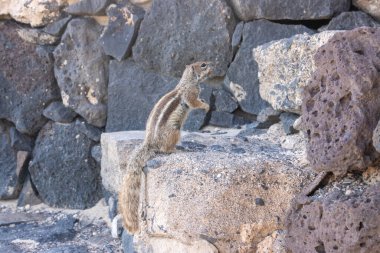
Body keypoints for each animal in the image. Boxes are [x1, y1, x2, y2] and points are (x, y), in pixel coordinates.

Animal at [119, 60, 214, 233]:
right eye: (203, 65)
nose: (213, 65)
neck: (188, 80)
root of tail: (150, 143)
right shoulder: (190, 94)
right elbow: (194, 102)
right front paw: (205, 106)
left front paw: (205, 102)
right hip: (175, 132)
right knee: (166, 150)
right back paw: (178, 149)